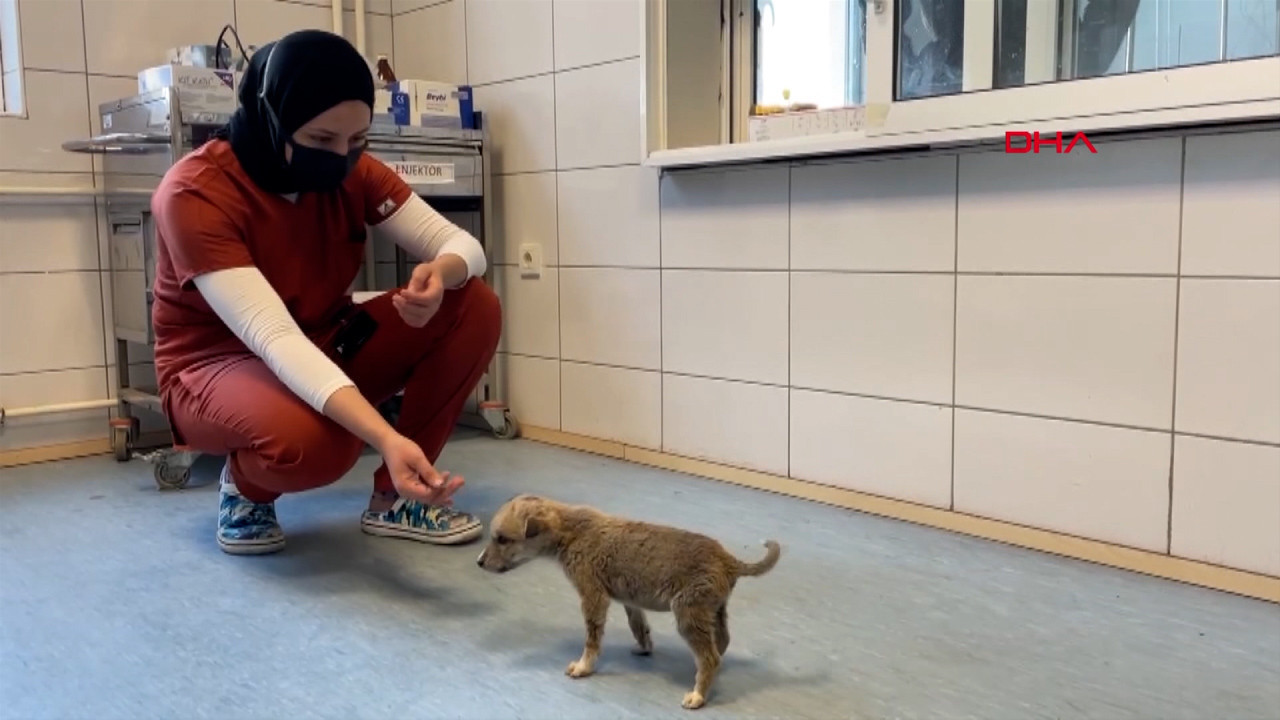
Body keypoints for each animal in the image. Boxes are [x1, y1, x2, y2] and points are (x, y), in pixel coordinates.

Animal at [476, 494, 781, 710]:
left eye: (502, 539)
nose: (478, 562)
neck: (570, 531)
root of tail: (729, 560)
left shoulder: (593, 597)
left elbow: (592, 640)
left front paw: (584, 667)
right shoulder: (628, 599)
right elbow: (638, 625)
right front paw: (644, 647)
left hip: (687, 614)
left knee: (710, 657)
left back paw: (698, 694)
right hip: (714, 609)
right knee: (721, 643)